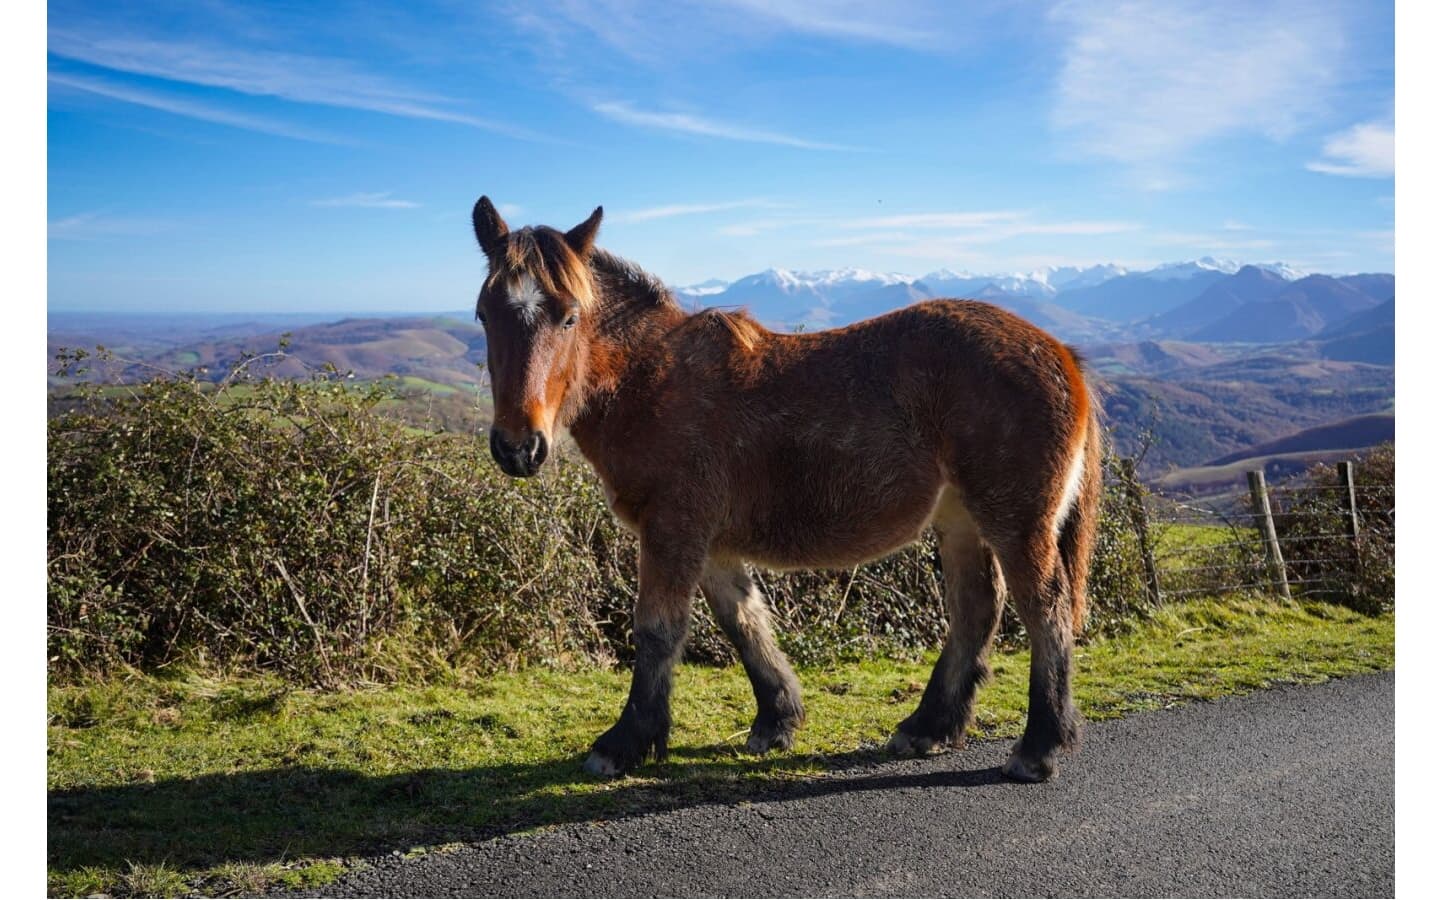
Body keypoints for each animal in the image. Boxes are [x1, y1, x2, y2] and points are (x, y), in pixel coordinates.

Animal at [470, 196, 1102, 782]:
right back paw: (929, 728)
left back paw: (1039, 745)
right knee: (976, 609)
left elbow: (657, 629)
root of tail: (1061, 353)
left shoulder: (673, 529)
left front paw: (624, 743)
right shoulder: (710, 544)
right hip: (961, 520)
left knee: (1044, 608)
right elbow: (744, 622)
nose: (518, 447)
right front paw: (777, 719)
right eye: (482, 314)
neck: (648, 380)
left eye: (569, 317)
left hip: (1016, 521)